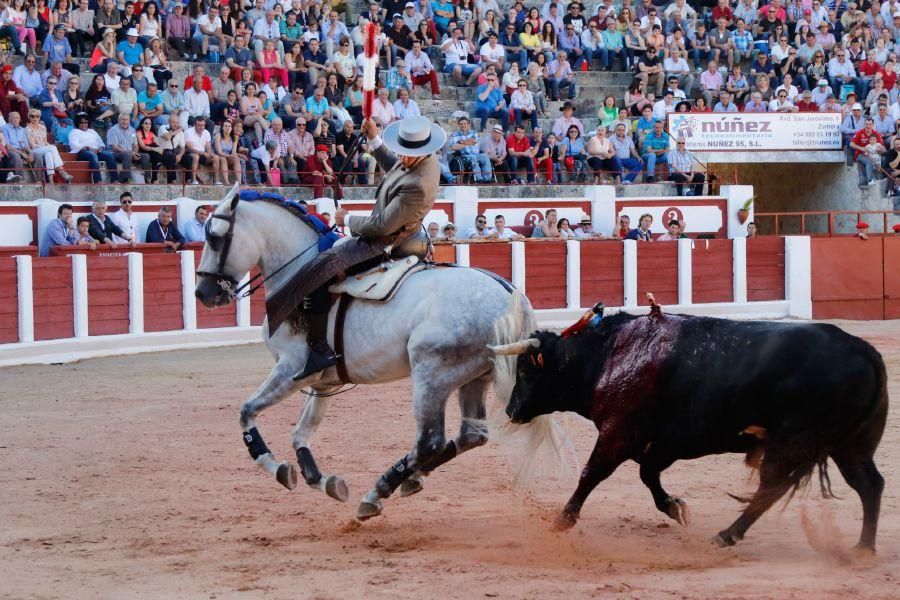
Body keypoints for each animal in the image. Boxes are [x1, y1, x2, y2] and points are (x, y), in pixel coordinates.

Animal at [195, 188, 564, 520]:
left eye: (214, 237)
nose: (203, 292)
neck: (295, 271)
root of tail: (511, 294)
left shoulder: (291, 369)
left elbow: (246, 412)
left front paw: (278, 469)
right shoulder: (323, 379)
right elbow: (301, 430)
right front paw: (323, 481)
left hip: (432, 375)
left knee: (430, 440)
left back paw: (379, 491)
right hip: (475, 377)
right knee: (471, 435)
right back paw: (409, 480)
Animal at [502, 312, 888, 552]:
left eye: (524, 371)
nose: (510, 411)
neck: (608, 355)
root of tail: (862, 349)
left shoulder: (617, 434)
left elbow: (590, 474)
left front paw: (561, 520)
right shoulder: (664, 444)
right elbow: (647, 475)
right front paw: (675, 508)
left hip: (792, 442)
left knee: (771, 489)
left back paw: (726, 536)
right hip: (851, 447)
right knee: (869, 485)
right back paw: (863, 547)